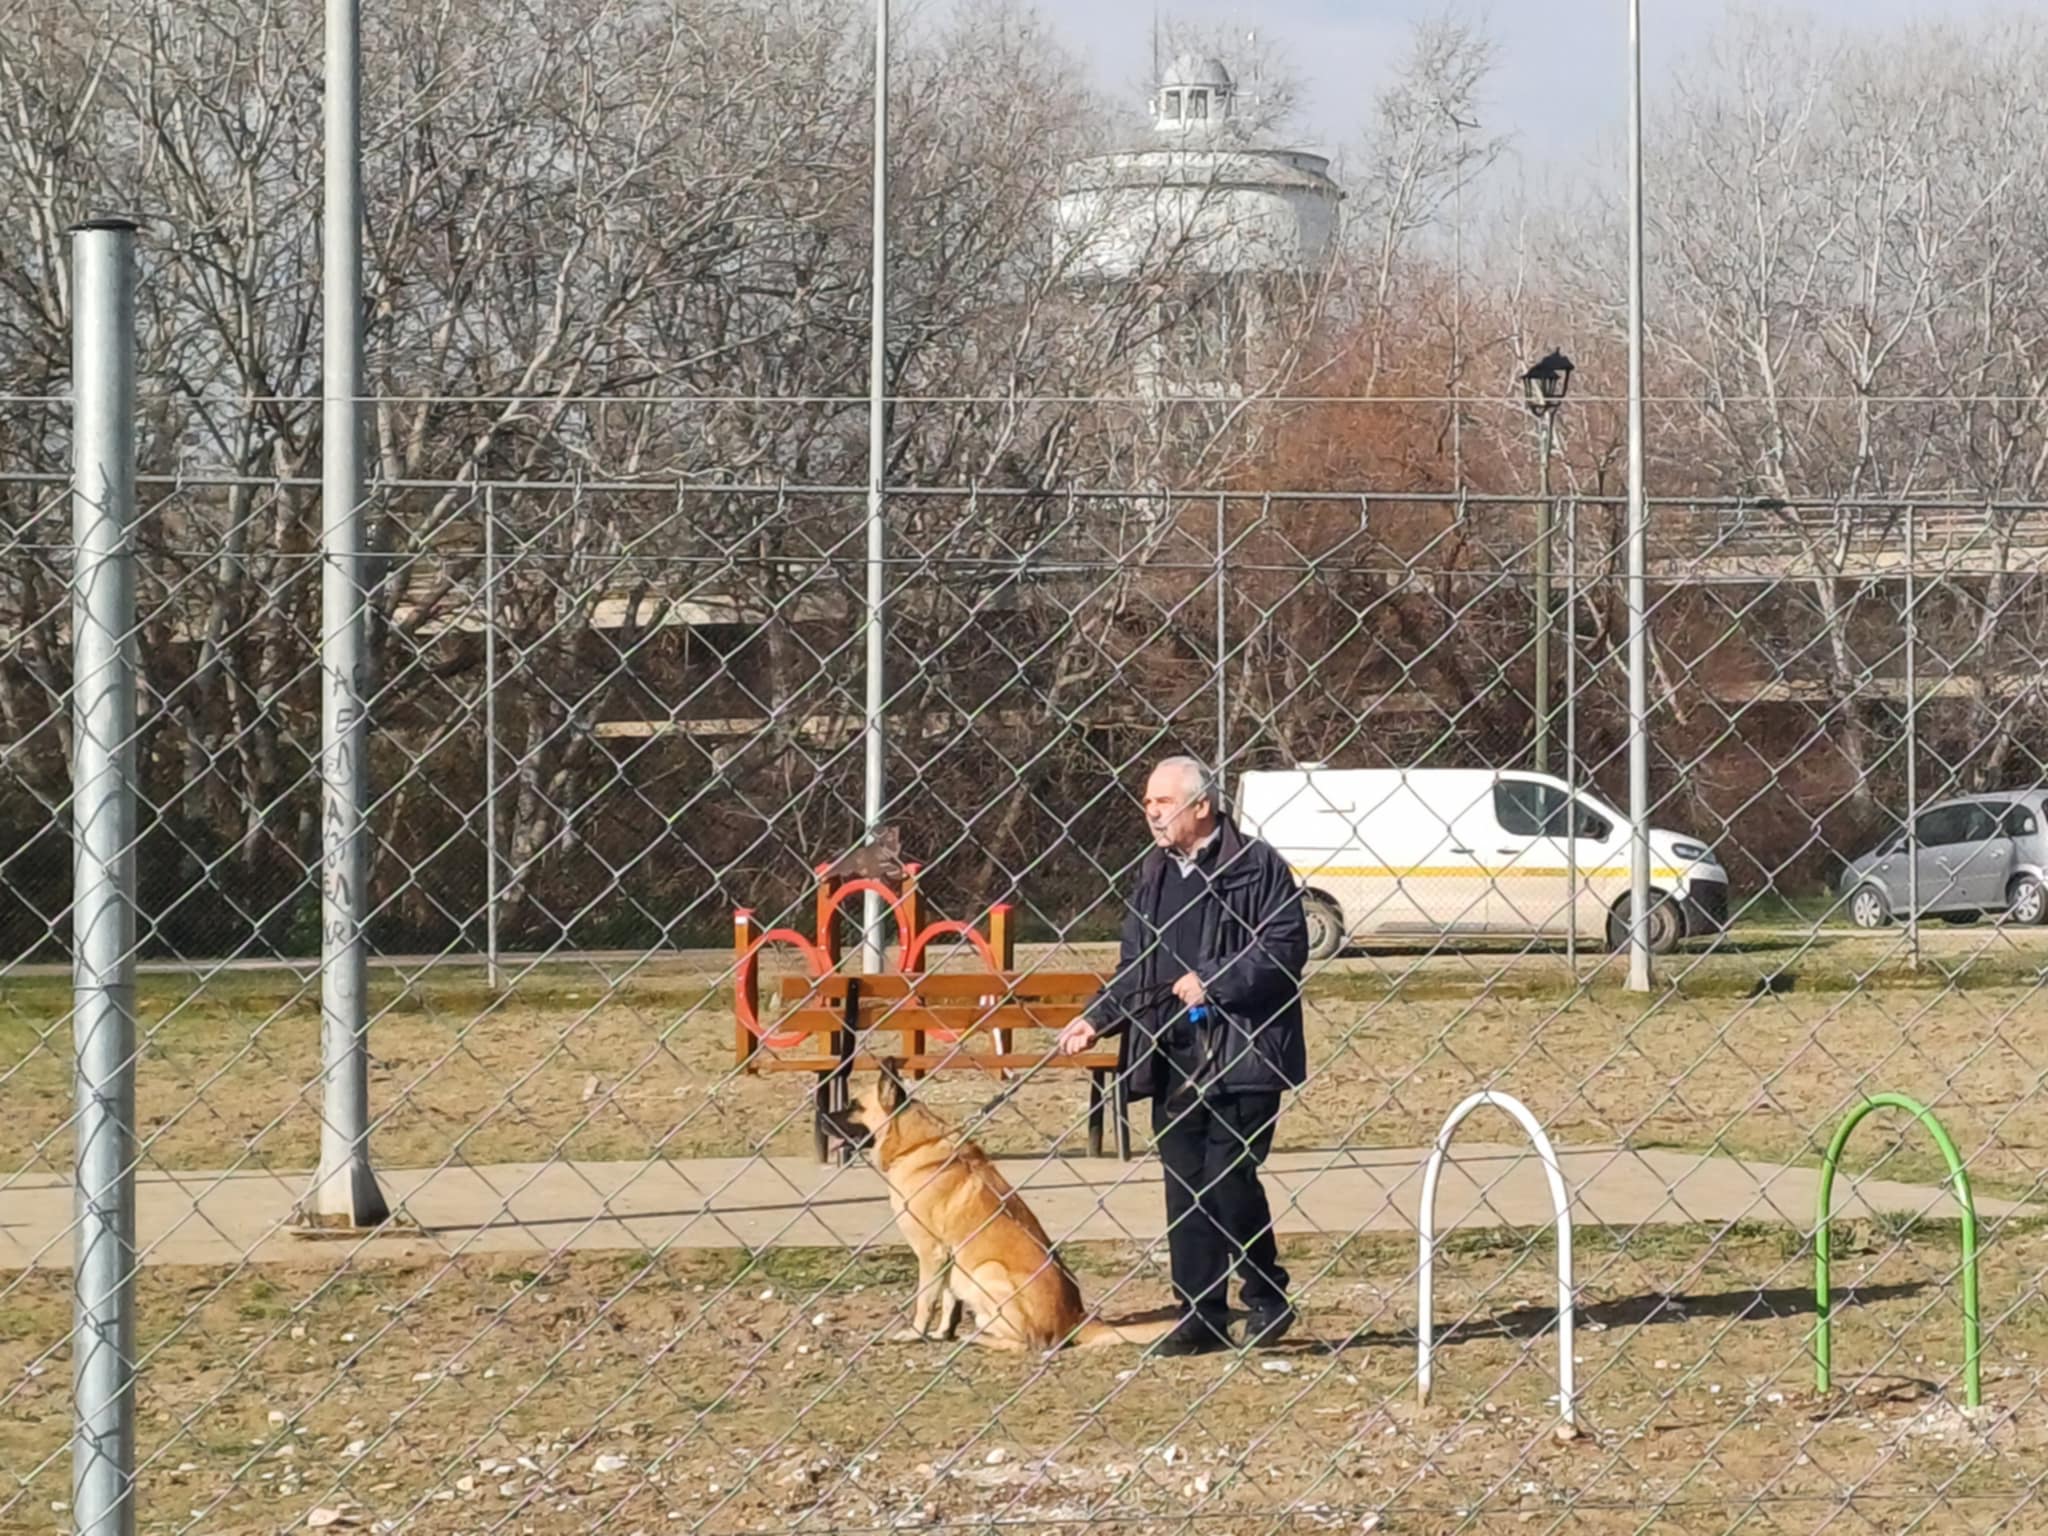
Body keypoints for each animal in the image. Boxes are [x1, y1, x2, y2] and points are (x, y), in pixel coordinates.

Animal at [831, 1064, 1179, 1351]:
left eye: (854, 1106)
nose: (822, 1117)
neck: (916, 1144)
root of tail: (1075, 1320)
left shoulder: (931, 1253)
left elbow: (926, 1300)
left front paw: (915, 1333)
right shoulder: (949, 1257)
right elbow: (948, 1301)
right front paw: (943, 1333)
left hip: (987, 1270)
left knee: (1027, 1342)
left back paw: (978, 1337)